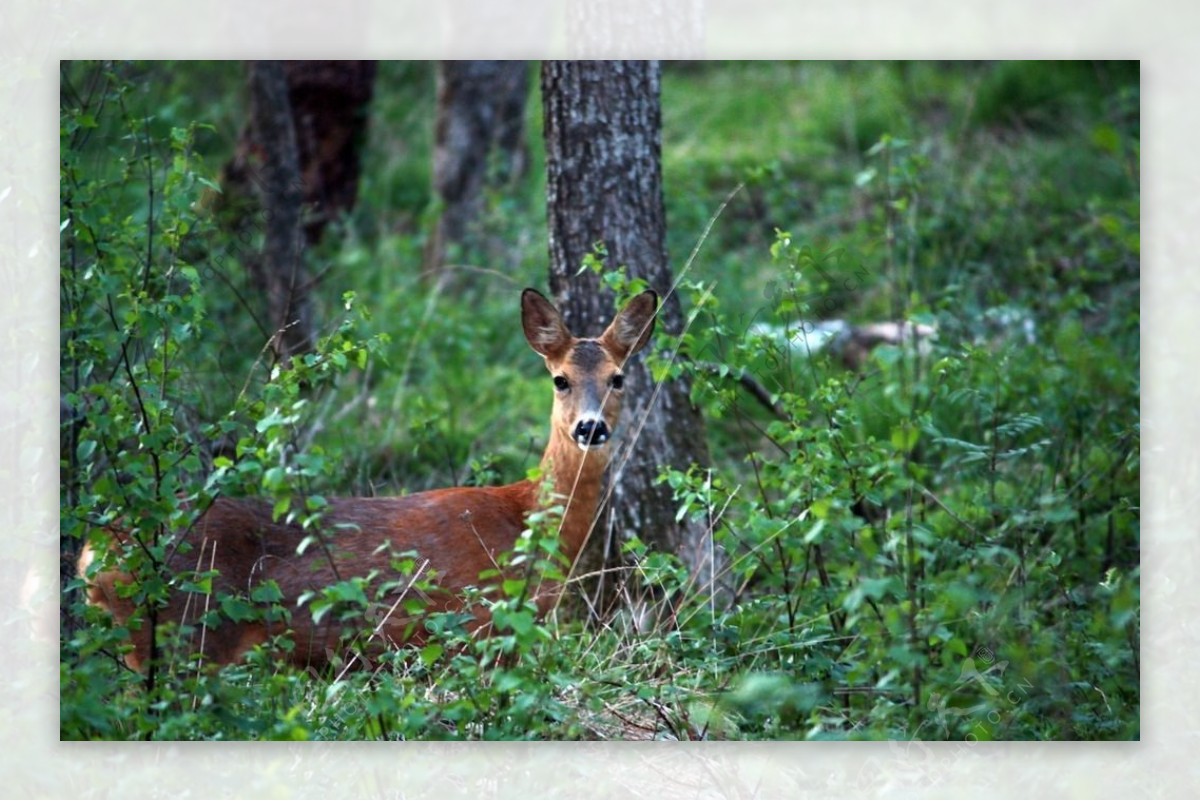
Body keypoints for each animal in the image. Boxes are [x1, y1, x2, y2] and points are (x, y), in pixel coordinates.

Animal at [77, 286, 657, 671]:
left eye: (618, 377)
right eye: (560, 379)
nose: (590, 427)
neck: (525, 523)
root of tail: (94, 553)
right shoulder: (471, 630)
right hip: (182, 637)